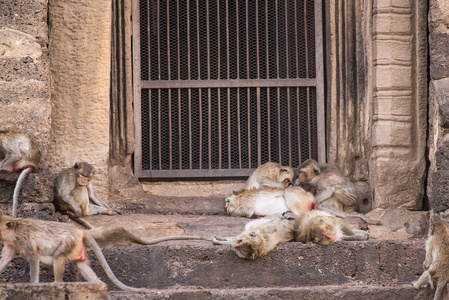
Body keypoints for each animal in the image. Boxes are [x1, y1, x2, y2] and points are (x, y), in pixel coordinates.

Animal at [0, 214, 151, 292]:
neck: (14, 231)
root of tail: (80, 231)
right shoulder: (12, 244)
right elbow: (5, 260)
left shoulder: (24, 241)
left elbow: (34, 258)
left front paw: (34, 285)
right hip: (77, 246)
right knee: (81, 265)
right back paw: (97, 285)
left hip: (69, 241)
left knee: (58, 257)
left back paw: (57, 284)